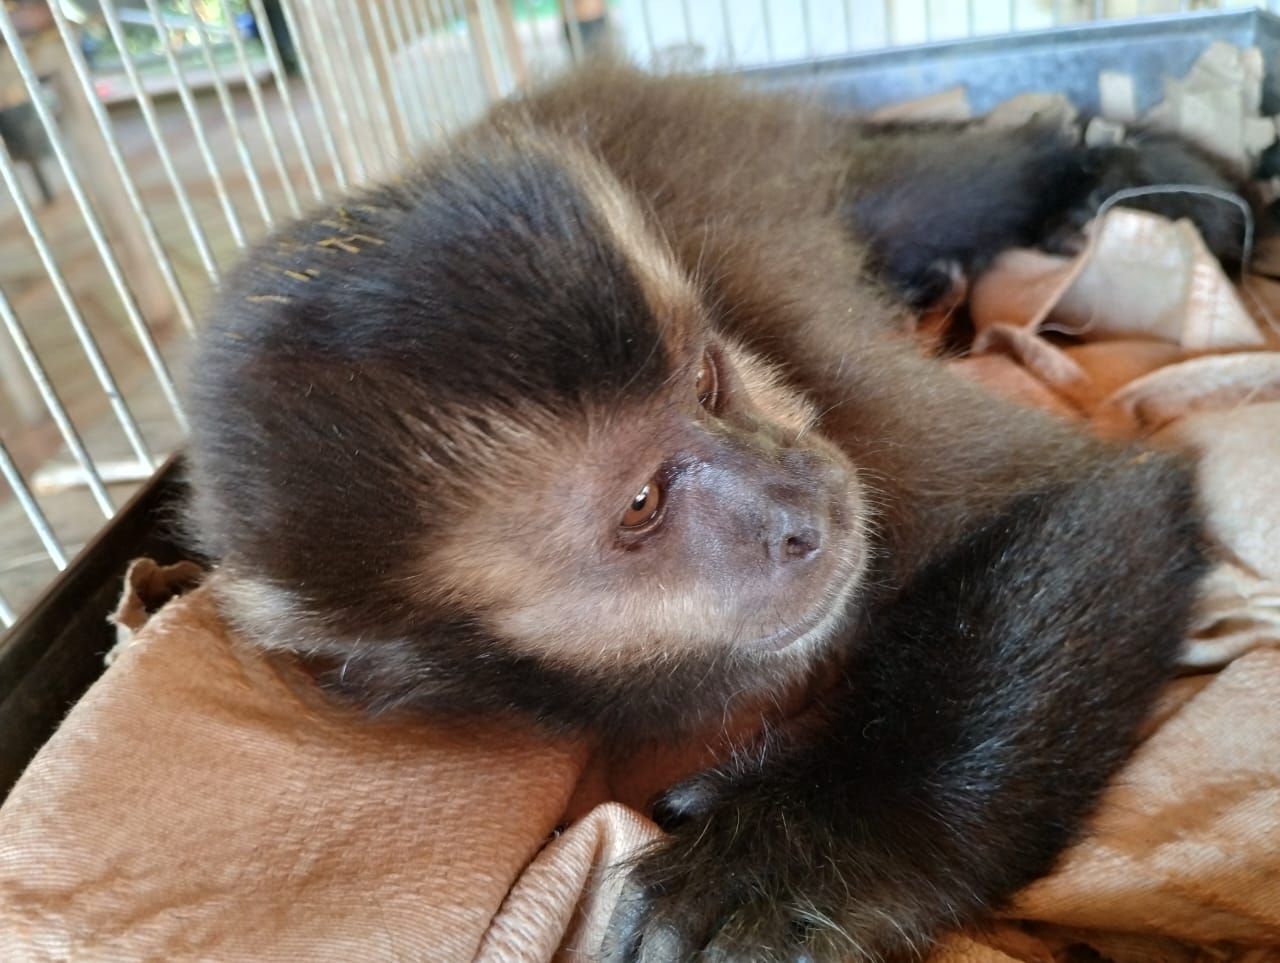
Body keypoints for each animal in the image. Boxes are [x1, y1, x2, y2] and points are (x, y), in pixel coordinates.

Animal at [185, 67, 1223, 962]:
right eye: (642, 503)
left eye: (707, 384)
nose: (799, 505)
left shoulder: (806, 370)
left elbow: (1092, 497)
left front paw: (812, 850)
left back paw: (1103, 158)